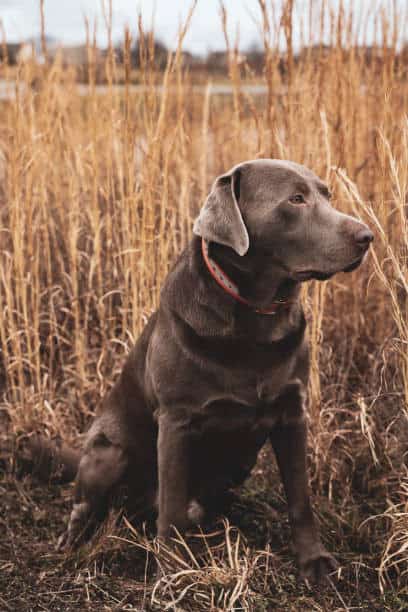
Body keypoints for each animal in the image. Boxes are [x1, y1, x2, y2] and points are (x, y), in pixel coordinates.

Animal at [31, 158, 372, 584]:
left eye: (327, 195)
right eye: (296, 199)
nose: (367, 236)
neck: (255, 319)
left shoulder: (293, 413)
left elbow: (300, 498)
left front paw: (314, 561)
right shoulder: (177, 421)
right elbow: (172, 506)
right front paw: (172, 571)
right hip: (109, 452)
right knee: (89, 508)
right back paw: (73, 543)